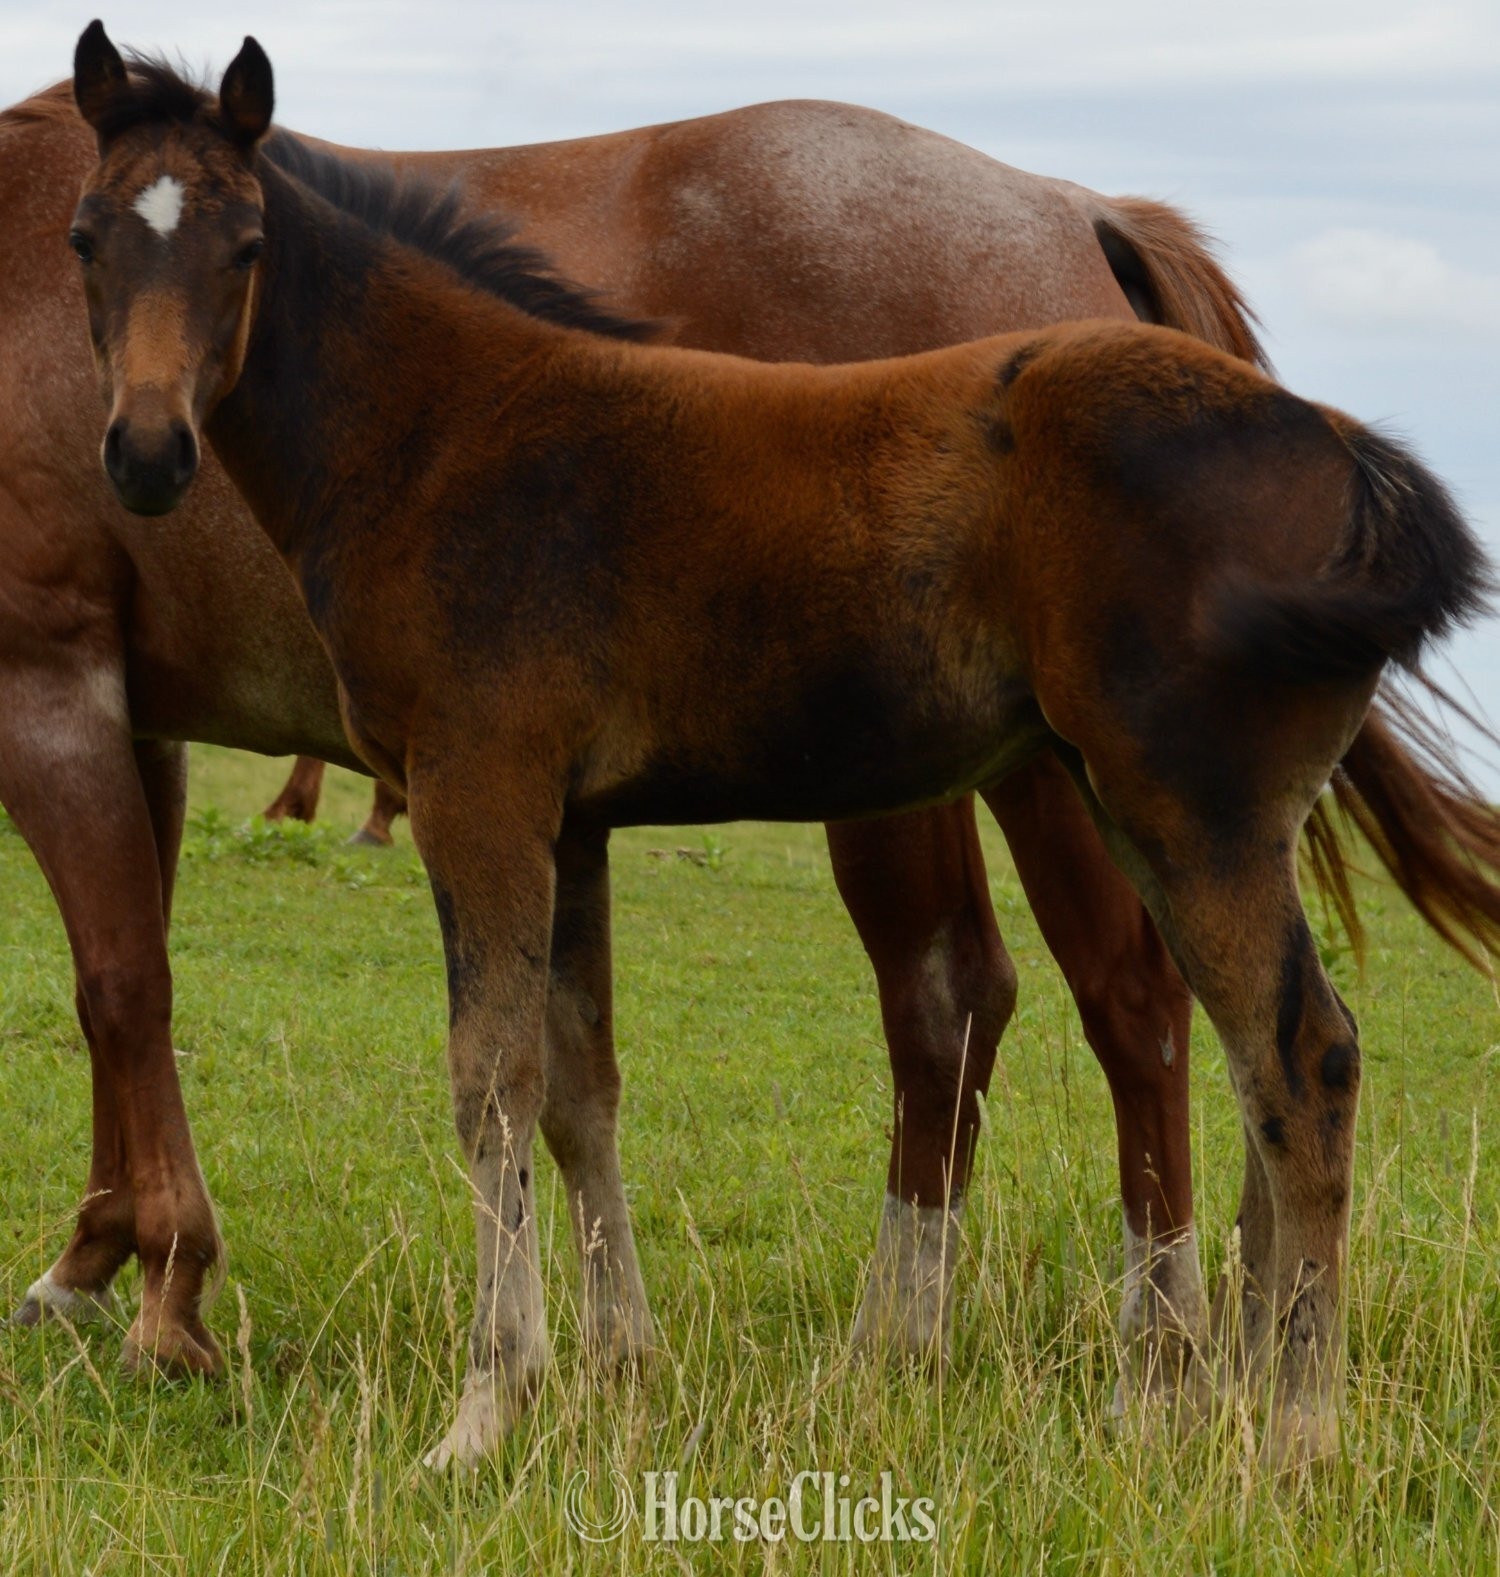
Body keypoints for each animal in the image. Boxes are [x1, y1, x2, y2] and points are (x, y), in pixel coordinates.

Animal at [68, 27, 1496, 1469]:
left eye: (246, 243)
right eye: (84, 238)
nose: (143, 454)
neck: (447, 430)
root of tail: (1347, 461)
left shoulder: (479, 789)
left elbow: (492, 1082)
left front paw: (483, 1410)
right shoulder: (571, 819)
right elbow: (578, 1081)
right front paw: (610, 1370)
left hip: (1180, 804)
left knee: (1299, 1056)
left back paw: (1291, 1428)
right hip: (1166, 808)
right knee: (1249, 1059)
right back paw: (1240, 1388)